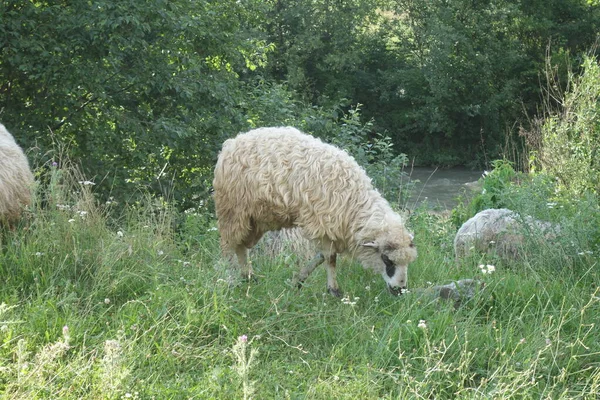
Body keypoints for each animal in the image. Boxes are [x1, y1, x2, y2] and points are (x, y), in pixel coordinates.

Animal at [212, 126, 418, 296]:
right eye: (387, 260)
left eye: (408, 262)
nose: (400, 291)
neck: (354, 202)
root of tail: (233, 142)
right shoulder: (322, 222)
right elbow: (330, 258)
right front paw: (334, 290)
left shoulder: (331, 229)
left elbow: (320, 257)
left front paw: (298, 281)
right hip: (233, 209)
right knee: (228, 246)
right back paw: (231, 279)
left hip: (255, 218)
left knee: (240, 246)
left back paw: (248, 277)